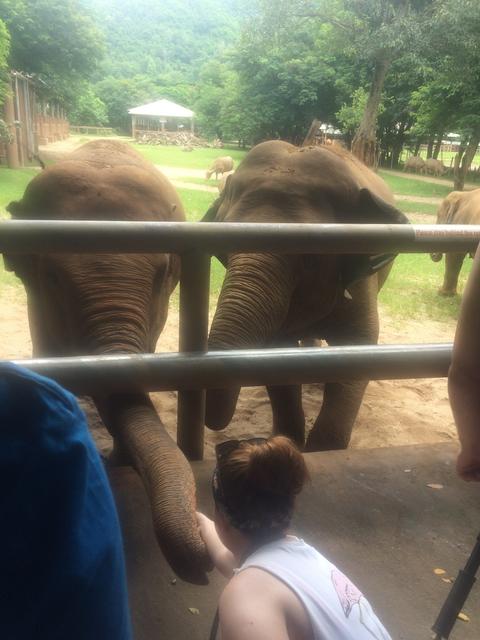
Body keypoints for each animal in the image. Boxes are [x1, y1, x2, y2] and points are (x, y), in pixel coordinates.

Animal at [203, 140, 409, 451]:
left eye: (310, 257)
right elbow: (277, 353)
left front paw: (323, 451)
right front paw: (287, 444)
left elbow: (358, 345)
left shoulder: (360, 278)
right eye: (225, 249)